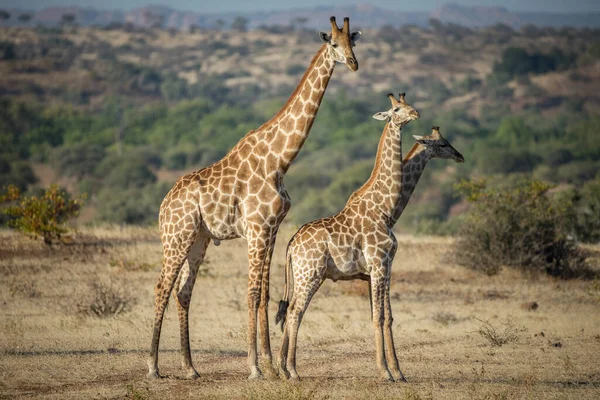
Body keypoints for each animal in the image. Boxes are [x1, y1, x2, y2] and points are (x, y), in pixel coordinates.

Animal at [148, 16, 360, 382]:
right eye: (334, 44)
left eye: (354, 43)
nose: (353, 63)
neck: (279, 159)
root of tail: (163, 206)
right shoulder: (257, 230)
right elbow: (251, 293)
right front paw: (254, 367)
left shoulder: (271, 230)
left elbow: (266, 294)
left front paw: (273, 365)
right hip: (176, 236)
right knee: (162, 287)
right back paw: (153, 366)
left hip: (198, 239)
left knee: (183, 291)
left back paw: (190, 368)